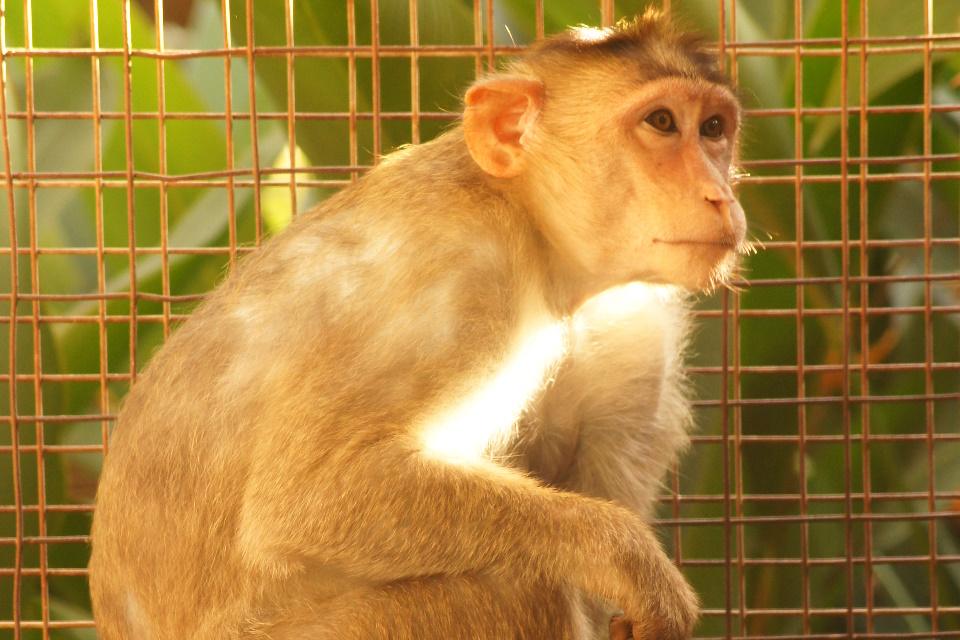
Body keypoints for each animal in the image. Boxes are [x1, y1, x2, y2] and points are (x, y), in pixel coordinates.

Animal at [88, 11, 746, 640]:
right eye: (662, 121)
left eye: (714, 129)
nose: (720, 197)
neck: (528, 221)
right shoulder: (457, 273)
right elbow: (305, 499)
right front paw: (625, 557)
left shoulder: (637, 325)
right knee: (518, 590)